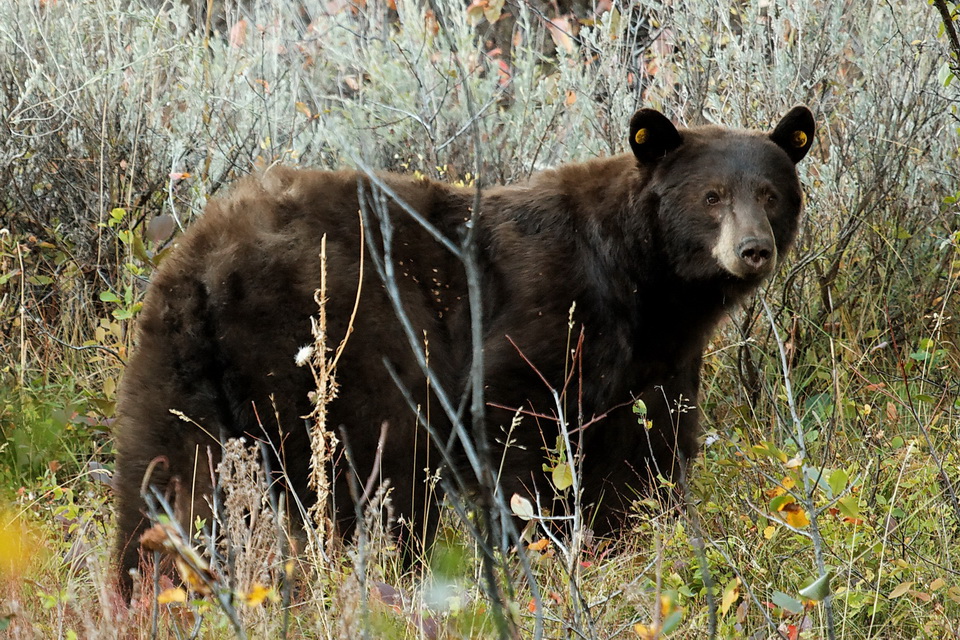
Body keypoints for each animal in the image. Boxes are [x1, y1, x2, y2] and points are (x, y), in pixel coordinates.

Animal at [113, 106, 815, 595]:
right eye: (712, 196)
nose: (753, 249)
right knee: (378, 471)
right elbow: (513, 427)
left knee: (160, 476)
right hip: (338, 344)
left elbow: (652, 443)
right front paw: (536, 544)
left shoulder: (657, 357)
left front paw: (637, 535)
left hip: (174, 362)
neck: (641, 281)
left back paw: (141, 586)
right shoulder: (543, 311)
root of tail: (202, 262)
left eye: (770, 194)